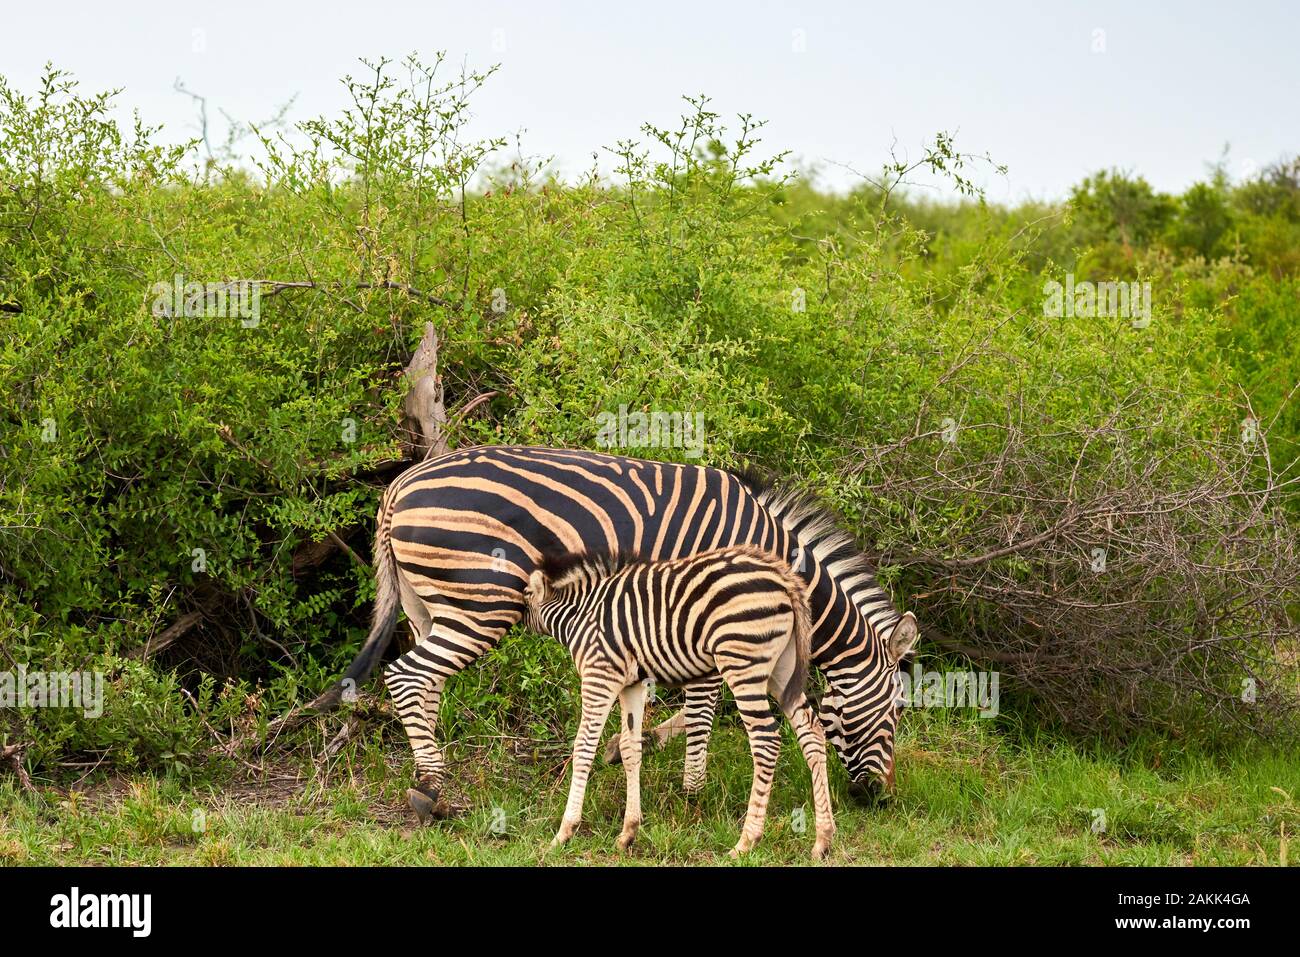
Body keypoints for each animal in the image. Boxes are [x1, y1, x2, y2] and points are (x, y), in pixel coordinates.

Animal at [319, 444, 920, 811]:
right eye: (894, 713)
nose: (882, 798)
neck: (770, 548)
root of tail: (398, 488)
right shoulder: (709, 610)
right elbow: (704, 704)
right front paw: (694, 790)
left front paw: (627, 748)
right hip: (482, 602)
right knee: (409, 677)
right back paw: (432, 788)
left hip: (429, 605)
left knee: (428, 683)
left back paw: (431, 777)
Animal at [520, 546, 832, 858]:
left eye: (524, 596)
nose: (516, 630)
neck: (580, 612)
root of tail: (783, 577)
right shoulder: (632, 685)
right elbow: (630, 747)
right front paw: (628, 833)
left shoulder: (600, 676)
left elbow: (584, 747)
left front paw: (564, 833)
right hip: (782, 668)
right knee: (812, 730)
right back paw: (823, 840)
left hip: (743, 662)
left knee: (765, 740)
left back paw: (746, 842)